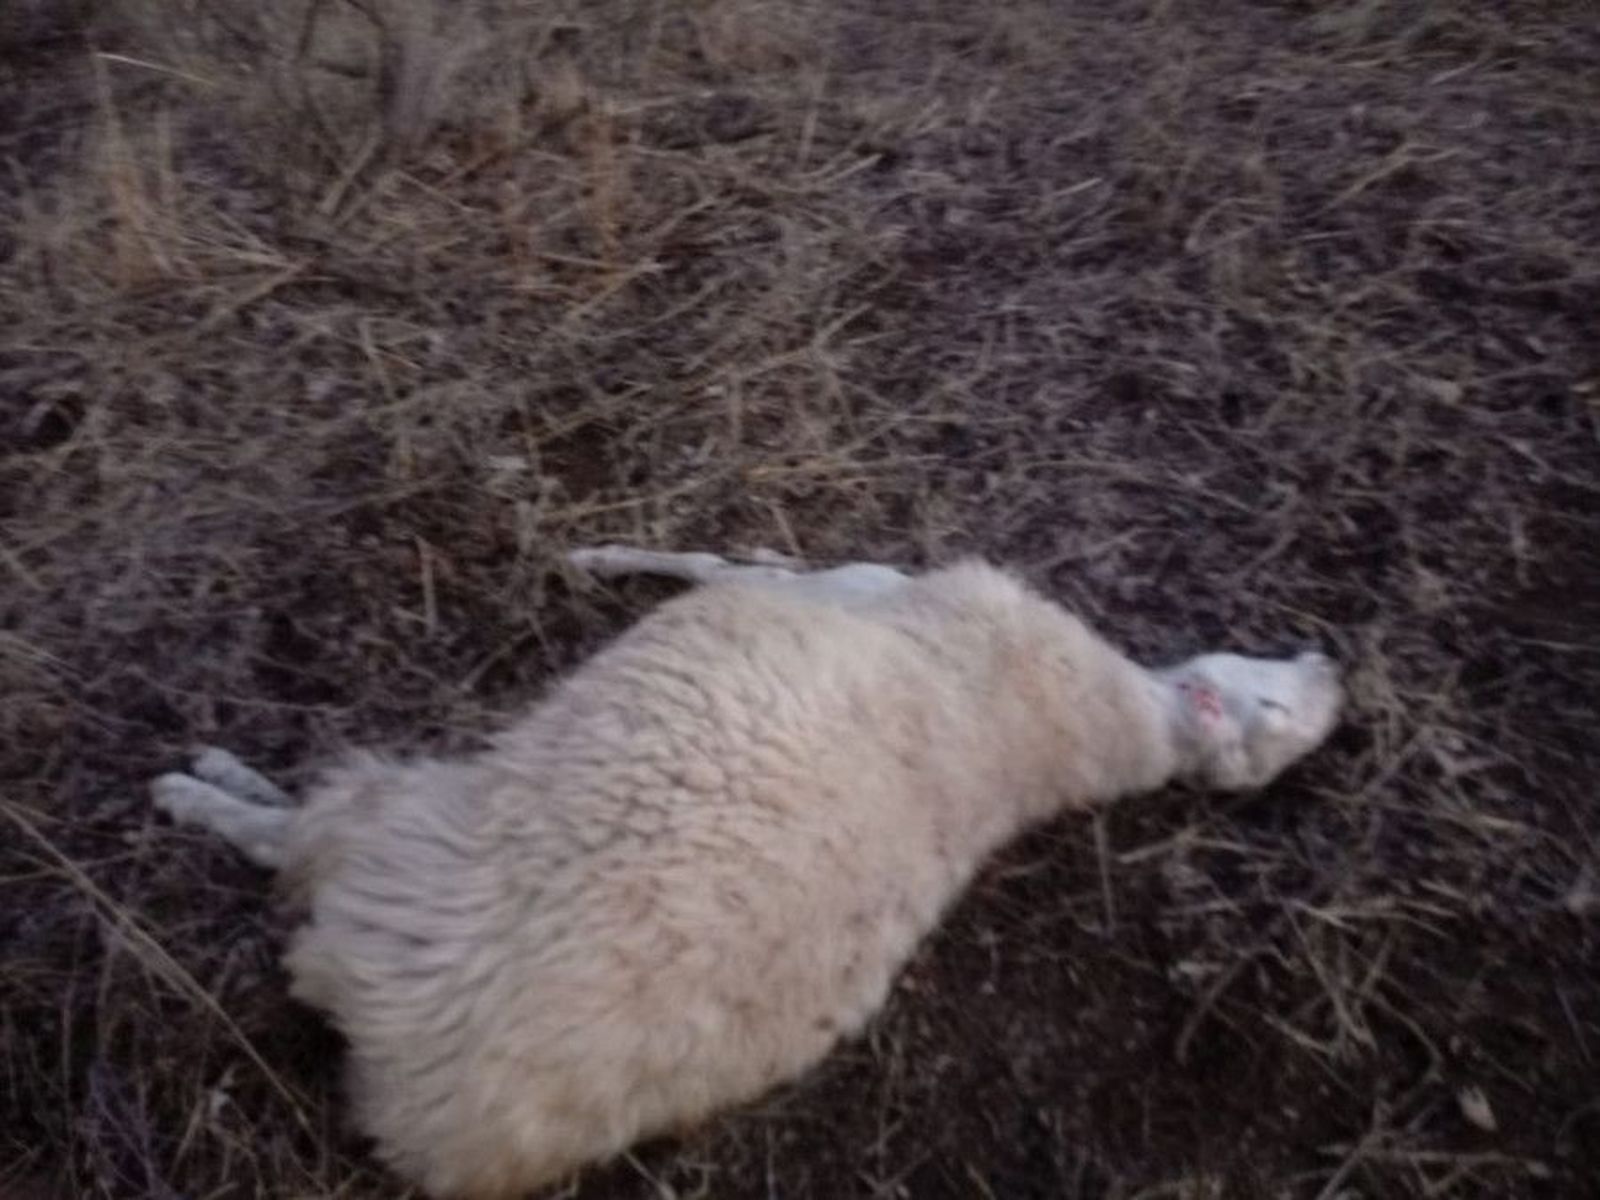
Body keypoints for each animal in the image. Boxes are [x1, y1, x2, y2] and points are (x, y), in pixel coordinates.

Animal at [150, 546, 1344, 1199]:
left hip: (407, 847)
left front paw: (601, 558)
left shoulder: (862, 586)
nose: (1335, 667)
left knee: (298, 839)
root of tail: (425, 1109)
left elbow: (731, 567)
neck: (1094, 730)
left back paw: (204, 789)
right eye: (1276, 706)